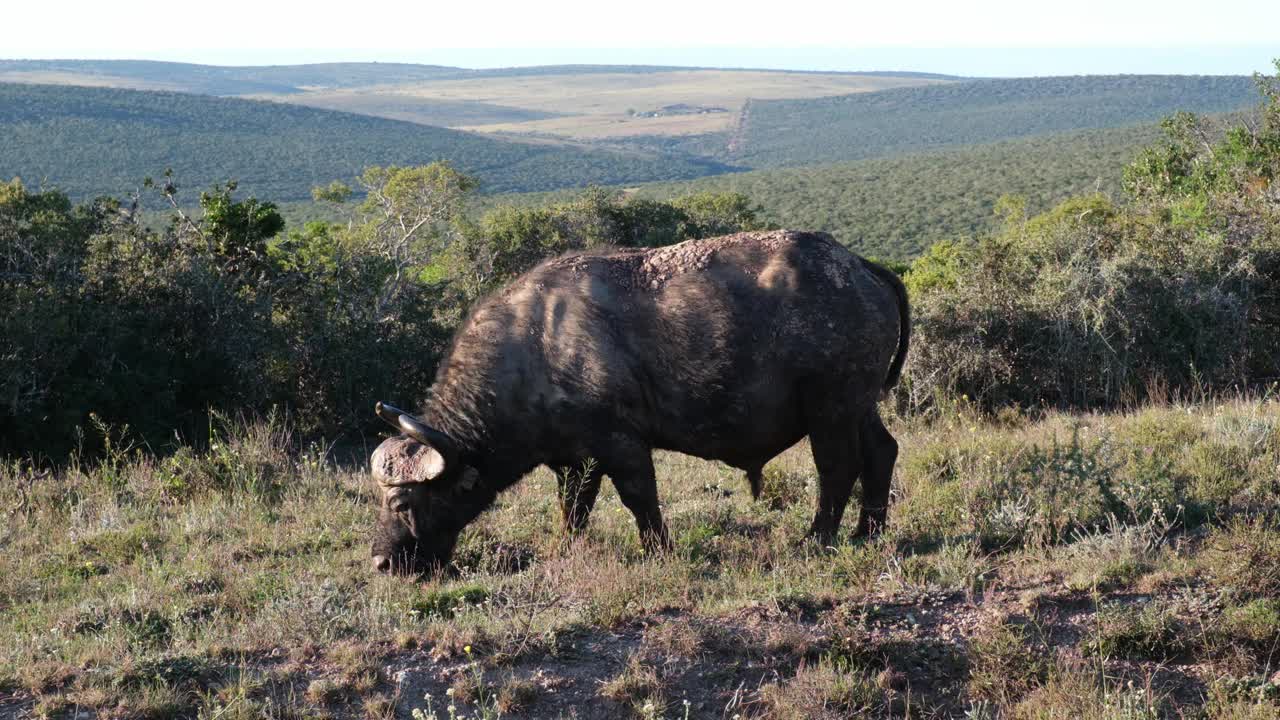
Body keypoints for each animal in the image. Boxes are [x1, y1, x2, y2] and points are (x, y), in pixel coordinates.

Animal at [371, 229, 911, 571]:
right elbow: (574, 508)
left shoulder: (621, 443)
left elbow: (639, 497)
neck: (535, 343)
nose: (381, 561)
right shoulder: (574, 461)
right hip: (859, 405)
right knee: (882, 452)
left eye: (401, 502)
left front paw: (657, 551)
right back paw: (868, 532)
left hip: (830, 407)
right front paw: (565, 547)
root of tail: (860, 267)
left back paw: (819, 538)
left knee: (838, 467)